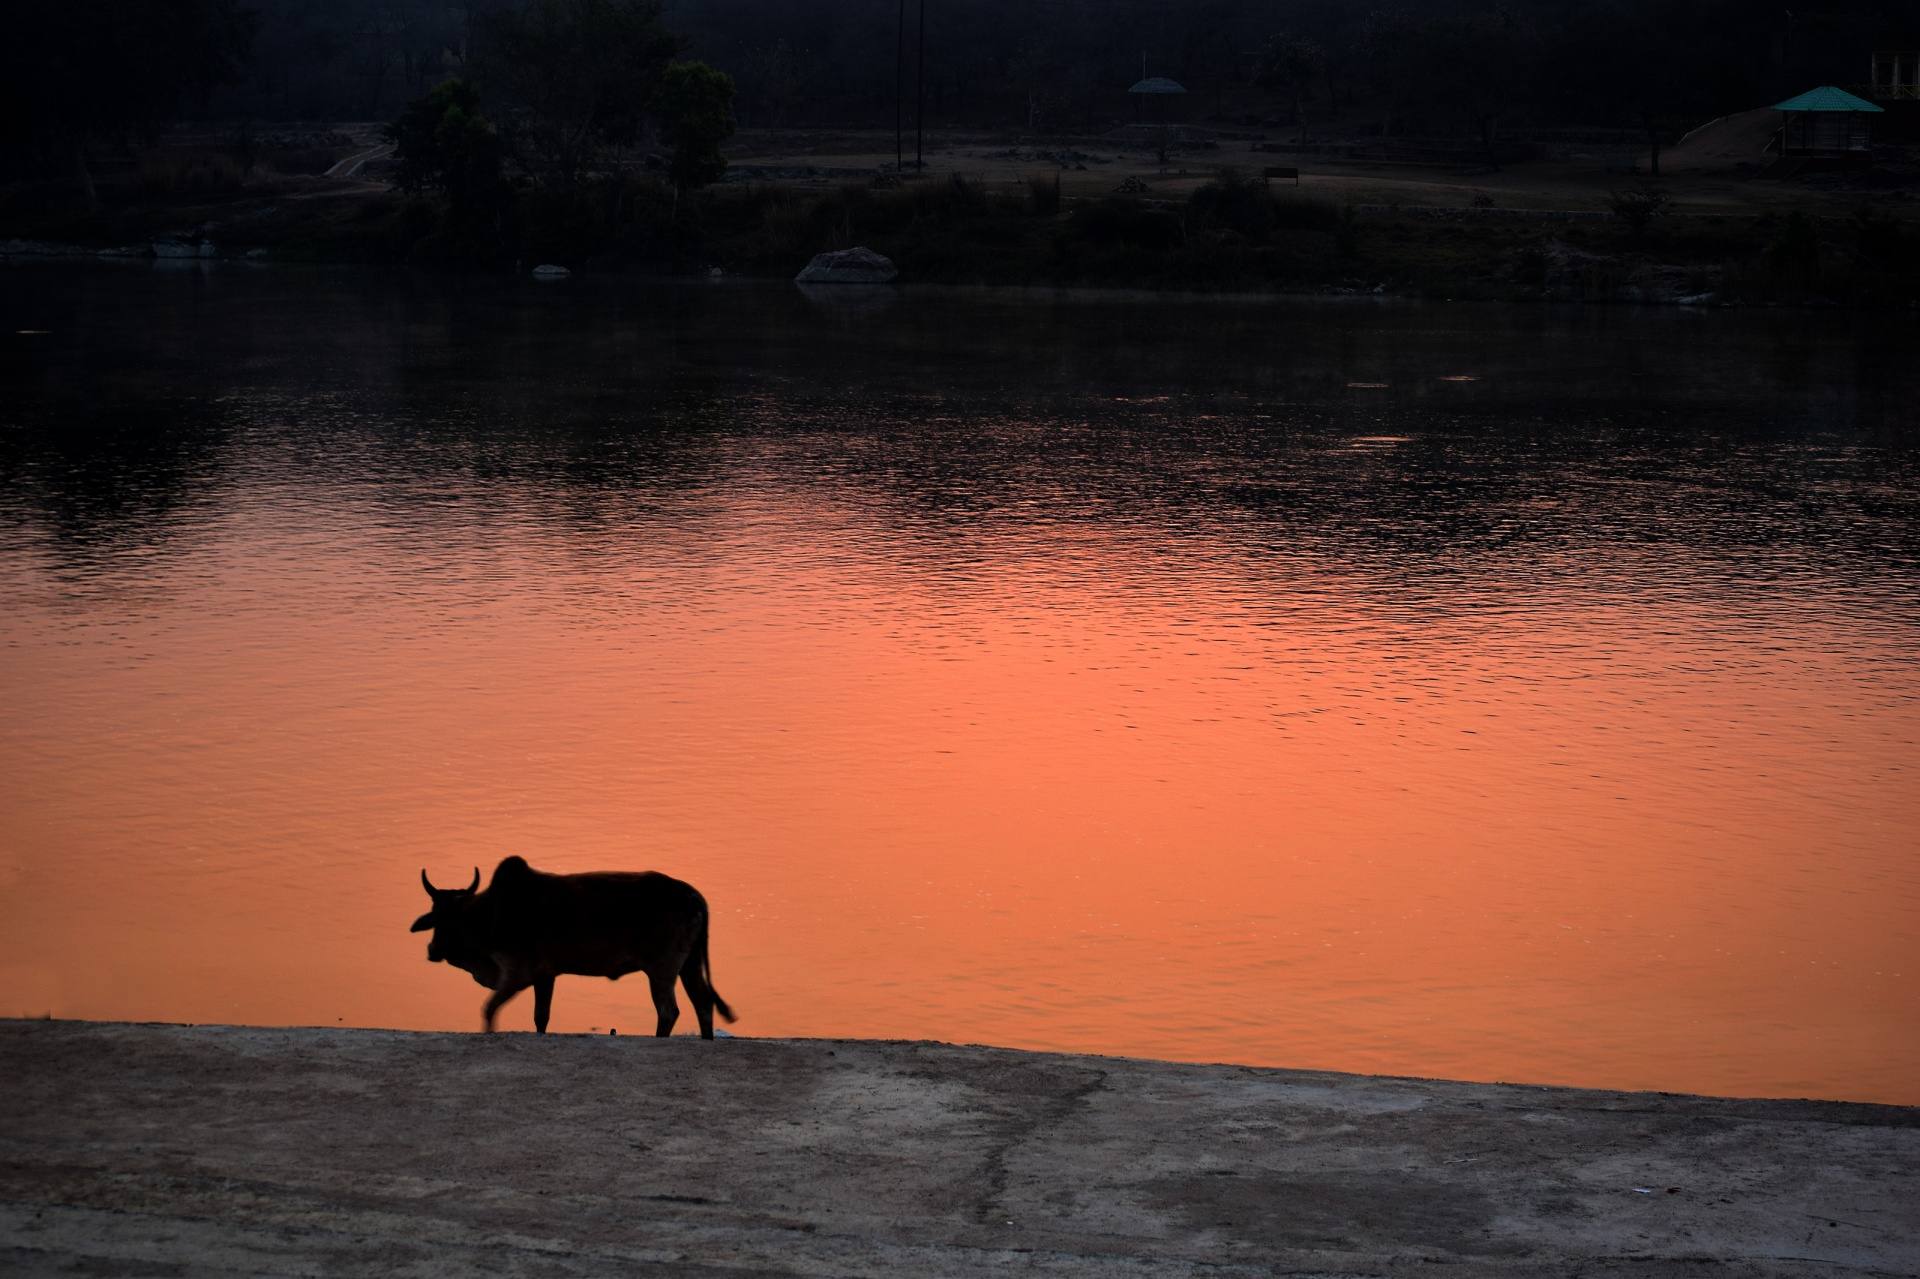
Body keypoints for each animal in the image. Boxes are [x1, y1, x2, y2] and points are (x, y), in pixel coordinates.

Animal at [410, 852, 733, 1029]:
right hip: (689, 965)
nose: (431, 949)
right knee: (704, 1005)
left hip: (662, 970)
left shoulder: (515, 974)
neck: (488, 912)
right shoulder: (545, 976)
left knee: (668, 1012)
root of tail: (692, 895)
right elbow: (541, 1018)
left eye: (437, 918)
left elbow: (488, 1011)